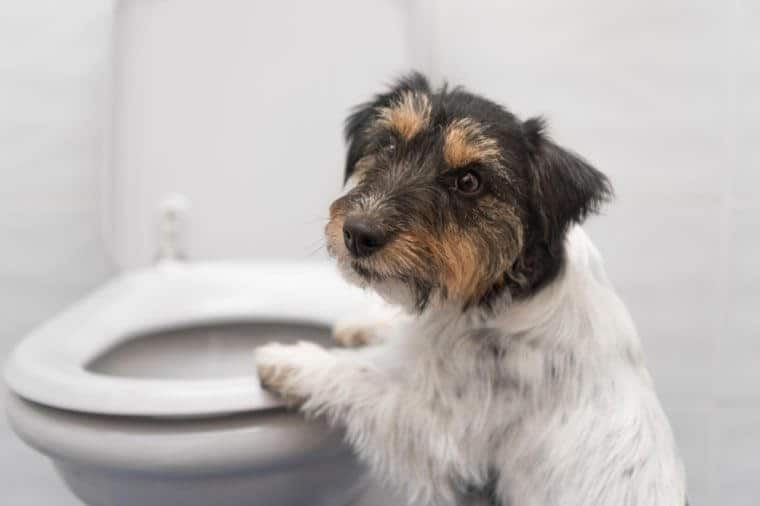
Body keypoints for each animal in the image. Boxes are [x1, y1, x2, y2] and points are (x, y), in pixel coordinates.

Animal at [256, 72, 688, 506]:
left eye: (468, 181)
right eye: (390, 143)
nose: (358, 234)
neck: (506, 290)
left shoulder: (433, 425)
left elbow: (362, 373)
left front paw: (292, 360)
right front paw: (364, 325)